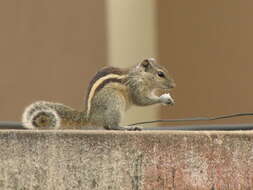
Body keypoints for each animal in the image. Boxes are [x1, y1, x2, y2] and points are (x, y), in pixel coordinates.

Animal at [21, 58, 176, 131]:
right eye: (160, 74)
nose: (173, 85)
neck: (139, 76)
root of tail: (89, 116)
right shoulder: (135, 87)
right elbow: (141, 100)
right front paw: (164, 98)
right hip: (115, 101)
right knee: (112, 126)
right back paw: (127, 127)